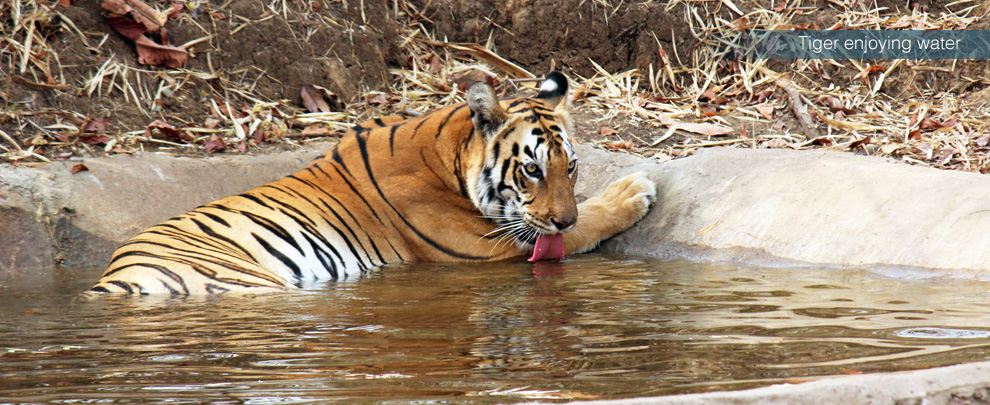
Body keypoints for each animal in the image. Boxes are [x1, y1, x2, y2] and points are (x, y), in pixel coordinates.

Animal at [89, 72, 656, 294]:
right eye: (532, 169)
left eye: (571, 167)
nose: (563, 214)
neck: (448, 153)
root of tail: (111, 281)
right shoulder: (488, 246)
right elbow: (578, 230)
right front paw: (633, 190)